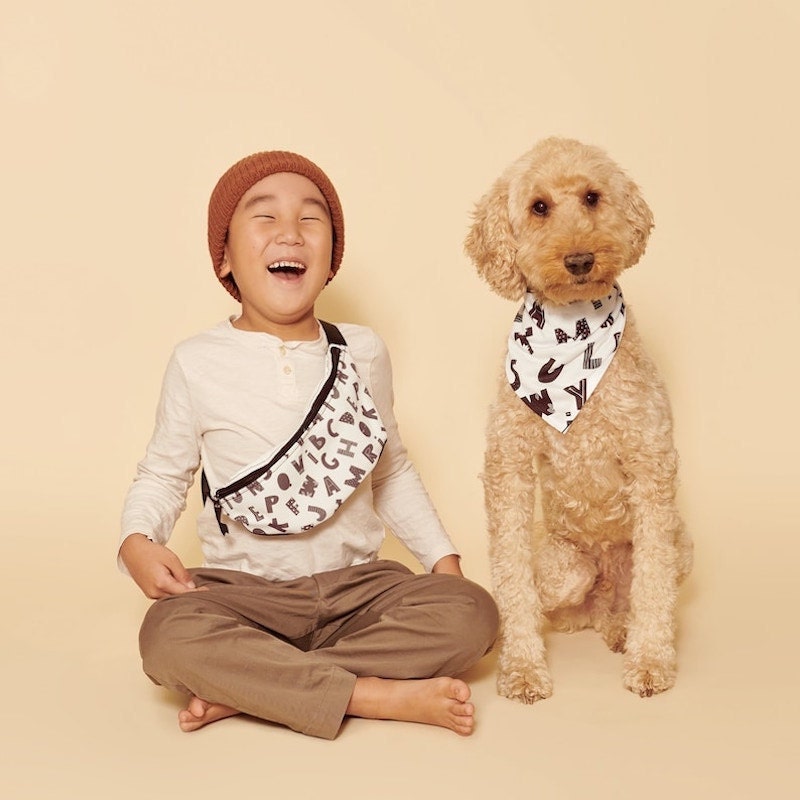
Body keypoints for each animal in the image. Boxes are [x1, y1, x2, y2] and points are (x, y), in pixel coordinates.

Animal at [466, 136, 692, 700]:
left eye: (592, 197)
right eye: (538, 207)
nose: (580, 259)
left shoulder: (652, 464)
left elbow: (653, 585)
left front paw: (650, 662)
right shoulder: (508, 466)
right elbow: (512, 577)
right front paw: (523, 668)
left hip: (681, 545)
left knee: (631, 595)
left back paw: (624, 630)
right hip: (564, 569)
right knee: (567, 601)